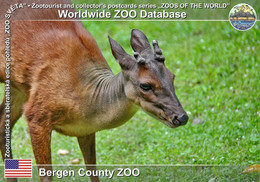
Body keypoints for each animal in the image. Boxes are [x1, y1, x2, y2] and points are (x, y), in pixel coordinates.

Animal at [0, 0, 187, 181]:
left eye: (172, 76)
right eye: (145, 85)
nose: (182, 117)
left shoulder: (86, 129)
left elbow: (92, 169)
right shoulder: (38, 114)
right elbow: (47, 175)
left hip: (18, 86)